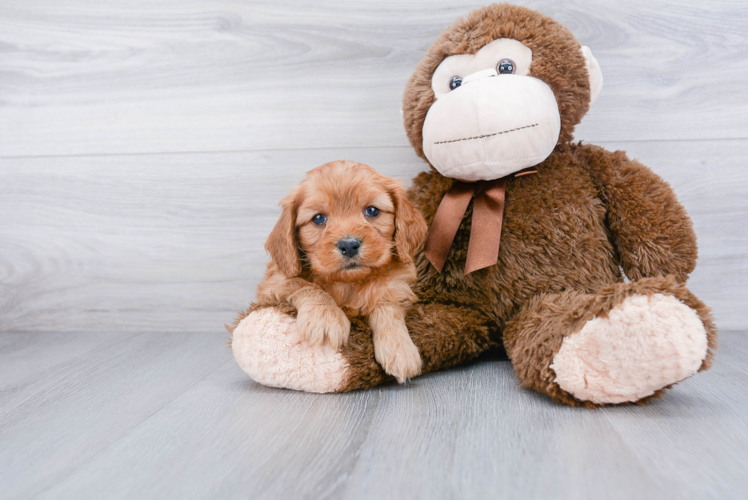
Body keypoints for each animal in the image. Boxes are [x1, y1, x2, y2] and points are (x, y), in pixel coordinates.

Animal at [256, 160, 426, 382]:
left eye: (372, 211)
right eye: (319, 218)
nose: (349, 245)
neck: (348, 283)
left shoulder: (396, 285)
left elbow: (387, 306)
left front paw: (400, 348)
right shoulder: (274, 283)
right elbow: (304, 285)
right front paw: (325, 317)